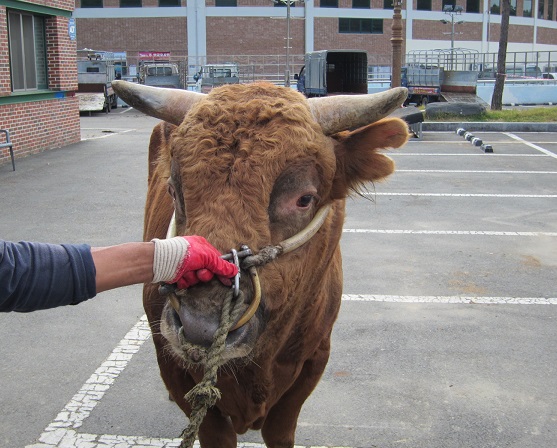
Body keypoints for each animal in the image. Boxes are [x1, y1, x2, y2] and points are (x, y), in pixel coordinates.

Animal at [113, 81, 408, 448]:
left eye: (304, 199)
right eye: (173, 190)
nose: (200, 325)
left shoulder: (314, 359)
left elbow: (279, 430)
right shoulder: (172, 364)